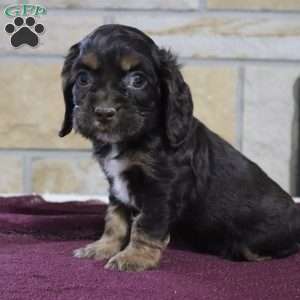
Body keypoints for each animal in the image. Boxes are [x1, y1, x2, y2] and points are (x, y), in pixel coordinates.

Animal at [59, 24, 300, 272]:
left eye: (137, 80)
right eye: (83, 79)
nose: (104, 112)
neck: (136, 136)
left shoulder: (162, 188)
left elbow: (146, 225)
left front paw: (134, 257)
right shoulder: (117, 186)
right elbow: (115, 220)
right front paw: (102, 247)